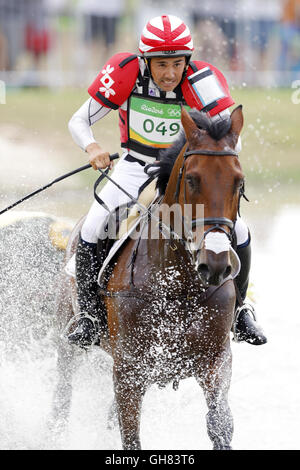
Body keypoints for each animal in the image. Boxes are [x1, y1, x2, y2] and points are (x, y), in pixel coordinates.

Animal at [51, 104, 244, 450]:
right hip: (69, 337)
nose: (215, 265)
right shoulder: (129, 370)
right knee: (62, 393)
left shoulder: (216, 362)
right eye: (192, 179)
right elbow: (131, 437)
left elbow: (220, 424)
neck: (177, 285)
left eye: (239, 182)